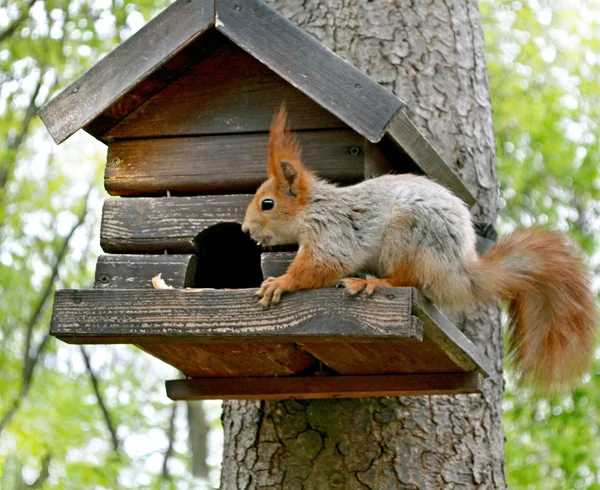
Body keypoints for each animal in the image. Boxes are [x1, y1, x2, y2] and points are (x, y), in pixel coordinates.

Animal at [241, 105, 596, 392]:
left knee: (407, 280)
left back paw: (371, 282)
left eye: (267, 204)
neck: (311, 208)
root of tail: (458, 272)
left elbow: (320, 266)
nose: (245, 229)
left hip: (408, 236)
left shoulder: (332, 233)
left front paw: (280, 282)